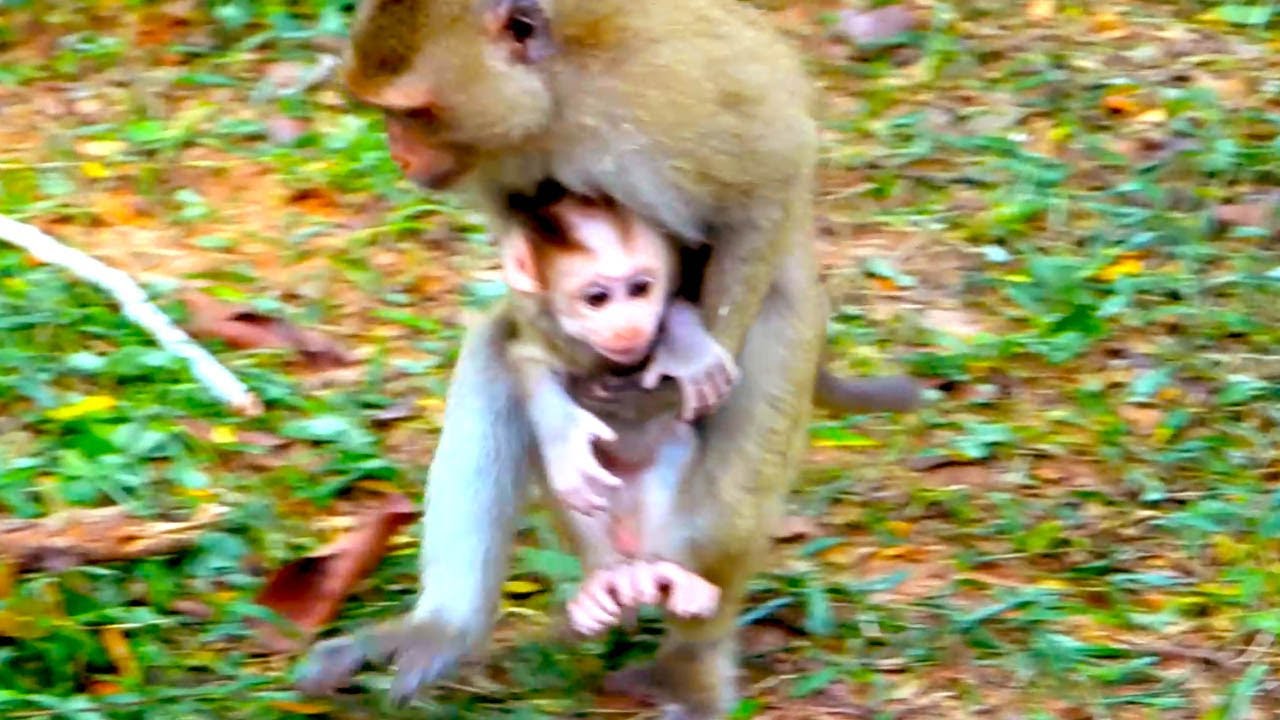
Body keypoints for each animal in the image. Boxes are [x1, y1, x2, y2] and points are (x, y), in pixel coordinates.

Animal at [296, 1, 921, 716]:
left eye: (417, 112)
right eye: (388, 113)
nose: (398, 149)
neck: (558, 96)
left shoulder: (665, 94)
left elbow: (765, 183)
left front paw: (681, 357)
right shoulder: (503, 163)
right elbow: (528, 286)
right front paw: (565, 423)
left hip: (788, 327)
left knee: (739, 456)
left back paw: (690, 650)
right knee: (495, 350)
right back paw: (452, 626)